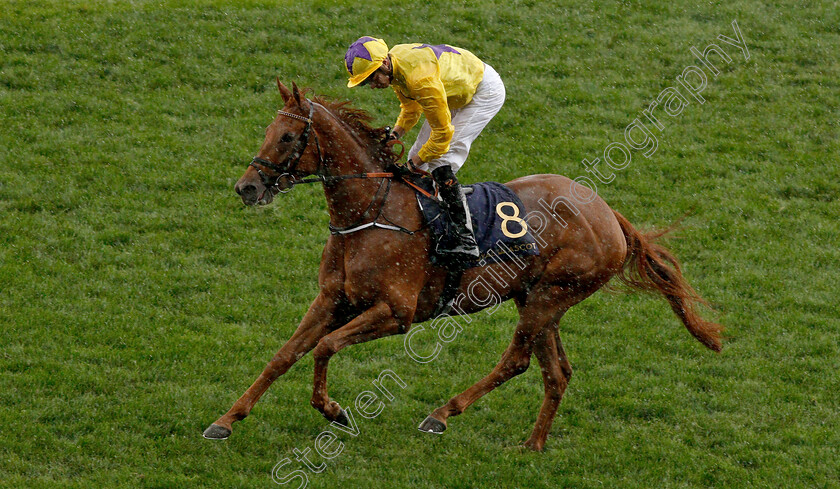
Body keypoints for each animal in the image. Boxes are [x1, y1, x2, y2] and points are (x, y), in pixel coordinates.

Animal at [205, 80, 720, 450]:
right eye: (268, 132)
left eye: (288, 136)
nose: (247, 187)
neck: (371, 213)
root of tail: (609, 213)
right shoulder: (332, 299)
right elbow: (283, 356)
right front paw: (226, 421)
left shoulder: (396, 313)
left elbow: (324, 348)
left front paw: (335, 410)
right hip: (539, 298)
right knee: (555, 372)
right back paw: (532, 445)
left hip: (551, 295)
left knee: (515, 360)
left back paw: (441, 415)